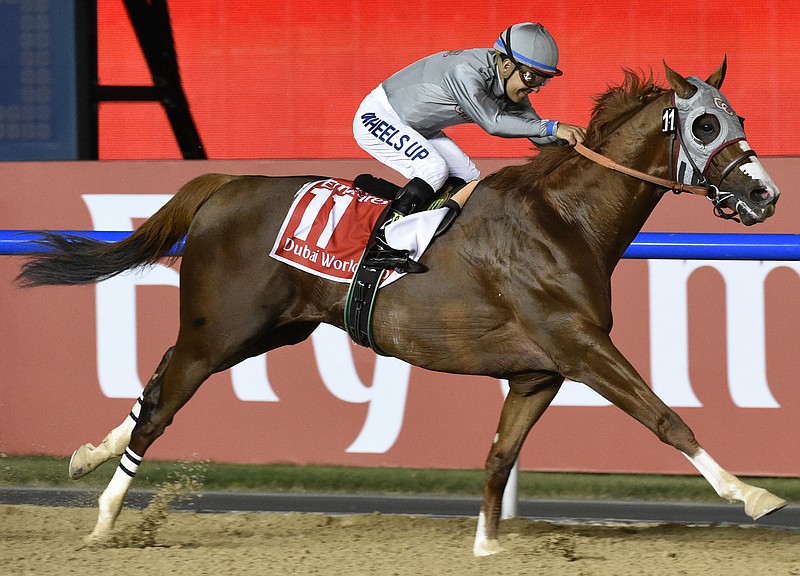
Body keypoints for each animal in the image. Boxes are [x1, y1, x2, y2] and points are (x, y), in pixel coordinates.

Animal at [15, 58, 784, 552]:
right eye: (705, 126)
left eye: (739, 116)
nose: (765, 194)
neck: (566, 219)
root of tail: (226, 184)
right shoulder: (579, 345)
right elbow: (664, 416)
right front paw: (752, 494)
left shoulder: (539, 372)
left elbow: (499, 457)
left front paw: (487, 549)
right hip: (222, 331)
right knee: (163, 402)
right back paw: (106, 516)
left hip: (265, 331)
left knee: (156, 379)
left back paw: (86, 457)